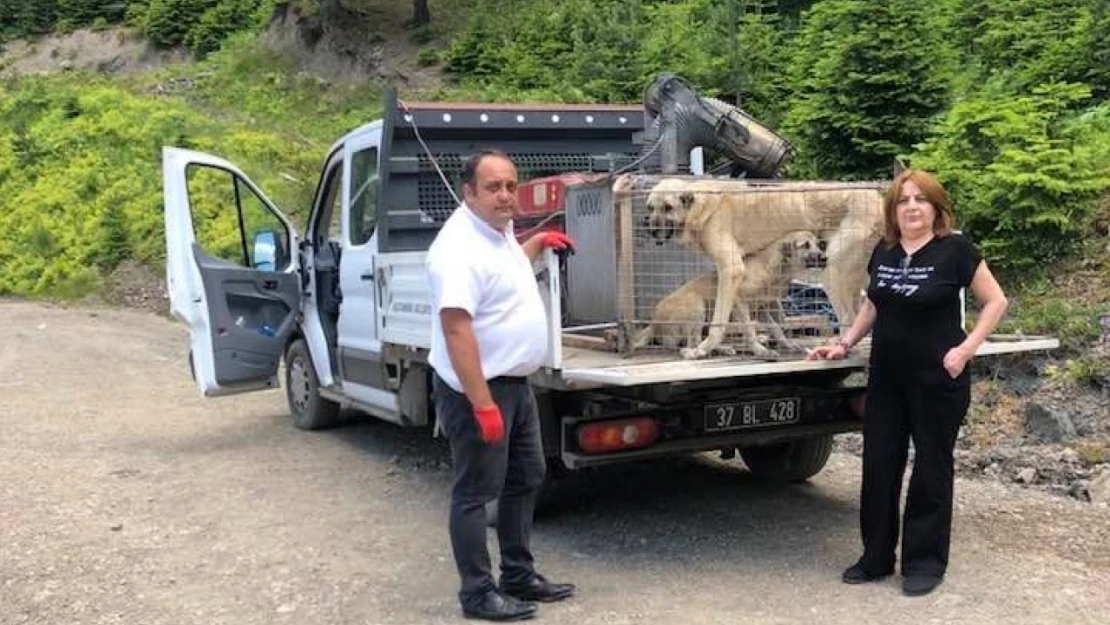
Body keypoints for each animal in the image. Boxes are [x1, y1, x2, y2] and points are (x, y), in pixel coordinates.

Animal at [648, 178, 879, 359]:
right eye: (650, 207)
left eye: (668, 207)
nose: (650, 229)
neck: (701, 207)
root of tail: (878, 198)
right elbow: (771, 318)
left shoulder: (731, 270)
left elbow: (719, 322)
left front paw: (702, 349)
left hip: (831, 271)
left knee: (848, 318)